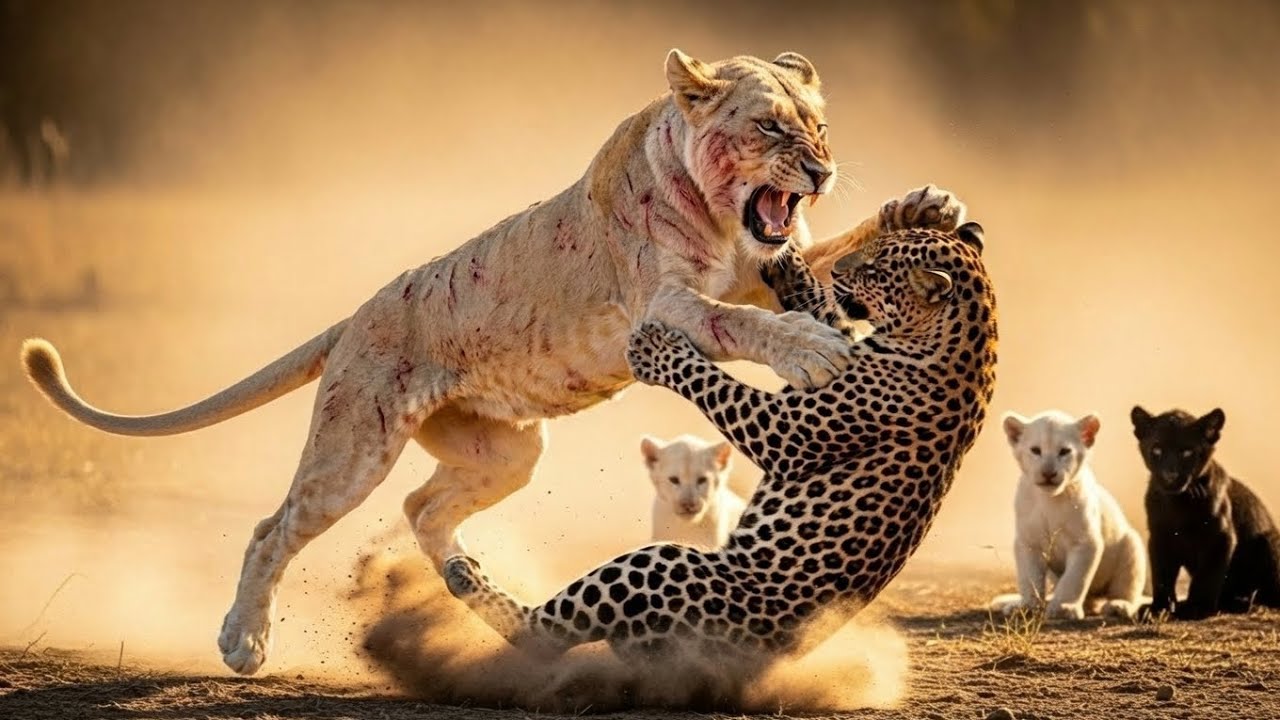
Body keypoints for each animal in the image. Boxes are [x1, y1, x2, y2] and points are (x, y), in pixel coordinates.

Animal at [442, 220, 997, 668]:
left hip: (664, 565)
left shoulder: (787, 432)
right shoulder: (825, 360)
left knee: (541, 636)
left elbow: (715, 384)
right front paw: (787, 262)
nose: (841, 268)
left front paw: (656, 348)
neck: (968, 335)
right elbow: (822, 316)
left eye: (877, 269)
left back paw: (463, 574)